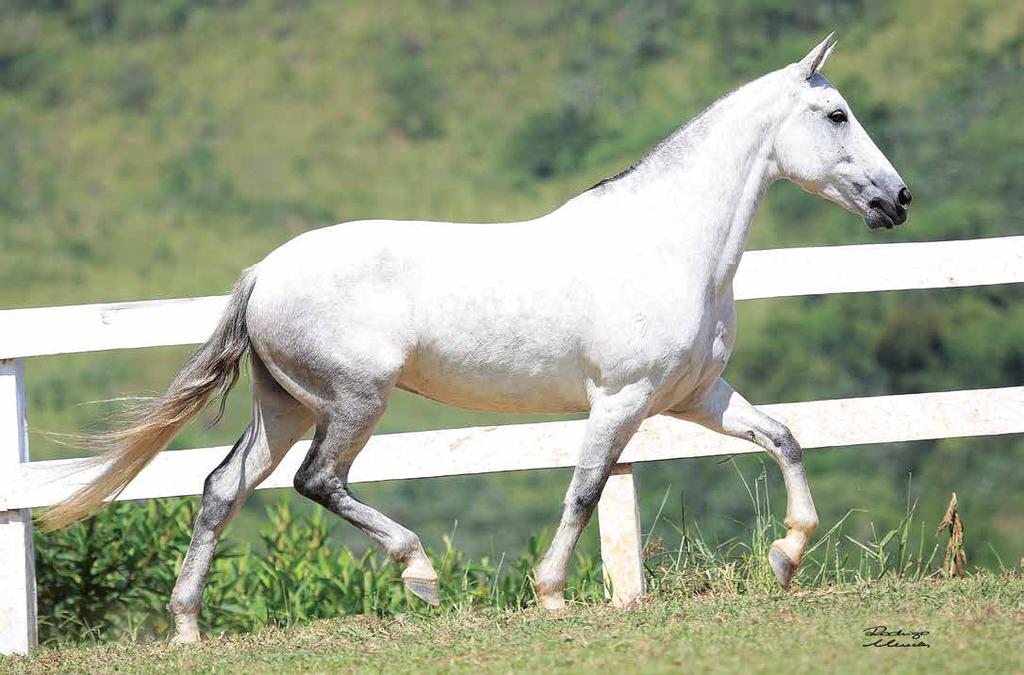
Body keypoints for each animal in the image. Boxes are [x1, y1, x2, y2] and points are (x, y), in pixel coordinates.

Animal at [46, 33, 913, 643]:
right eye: (836, 115)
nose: (898, 199)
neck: (667, 244)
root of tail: (263, 271)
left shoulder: (695, 395)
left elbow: (783, 437)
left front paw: (787, 555)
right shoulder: (620, 399)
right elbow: (586, 489)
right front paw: (551, 592)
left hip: (286, 404)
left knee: (224, 486)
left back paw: (189, 625)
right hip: (354, 400)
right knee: (317, 481)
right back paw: (420, 572)